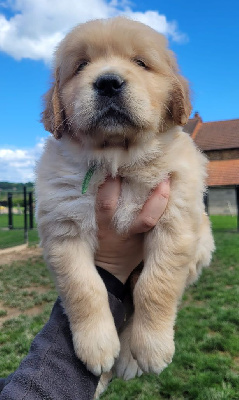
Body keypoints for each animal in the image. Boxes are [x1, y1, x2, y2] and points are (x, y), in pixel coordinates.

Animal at [35, 17, 215, 386]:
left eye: (141, 63)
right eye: (81, 66)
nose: (108, 83)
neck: (119, 159)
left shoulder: (175, 221)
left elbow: (155, 286)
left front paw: (152, 347)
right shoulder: (64, 226)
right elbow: (84, 287)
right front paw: (96, 347)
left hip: (202, 246)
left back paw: (133, 355)